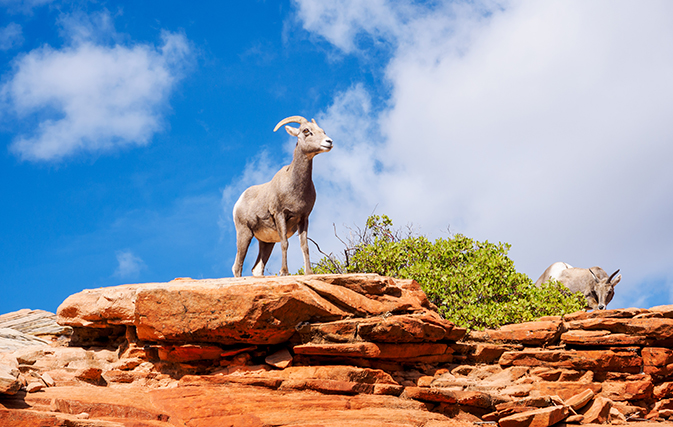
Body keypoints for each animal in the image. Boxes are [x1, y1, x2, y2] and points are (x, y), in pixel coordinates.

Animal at [232, 115, 332, 280]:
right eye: (306, 131)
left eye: (322, 131)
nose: (328, 142)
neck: (294, 187)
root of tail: (238, 202)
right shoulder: (280, 214)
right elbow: (285, 243)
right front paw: (284, 272)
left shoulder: (304, 218)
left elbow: (304, 245)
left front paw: (309, 273)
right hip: (244, 233)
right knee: (237, 266)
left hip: (266, 242)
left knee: (257, 268)